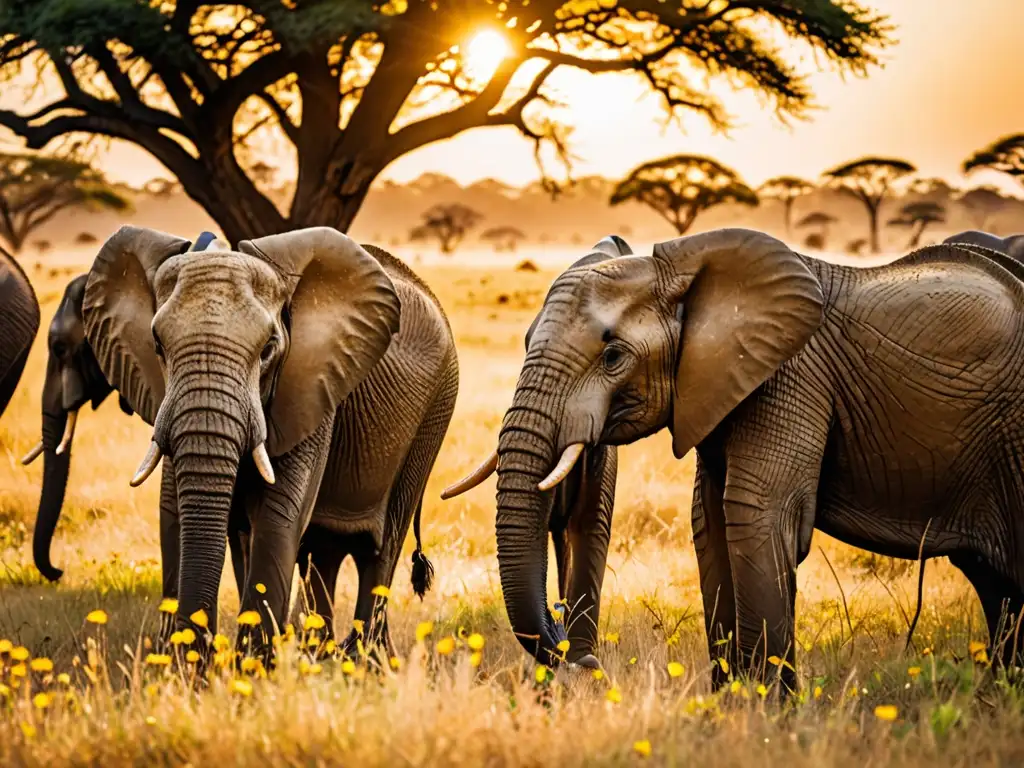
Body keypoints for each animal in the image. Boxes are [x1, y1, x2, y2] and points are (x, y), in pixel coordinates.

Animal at [81, 224, 458, 655]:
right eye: (157, 346)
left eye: (268, 351)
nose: (203, 648)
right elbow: (174, 511)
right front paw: (183, 662)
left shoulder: (310, 384)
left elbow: (278, 516)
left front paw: (250, 664)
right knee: (324, 547)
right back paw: (319, 653)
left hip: (435, 412)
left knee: (381, 546)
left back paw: (364, 657)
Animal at [450, 225, 1024, 688]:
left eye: (612, 356)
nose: (580, 658)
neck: (687, 266)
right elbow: (709, 519)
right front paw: (732, 704)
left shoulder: (790, 378)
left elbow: (753, 514)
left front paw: (771, 715)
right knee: (997, 584)